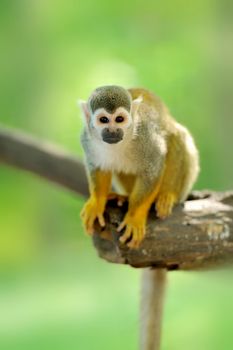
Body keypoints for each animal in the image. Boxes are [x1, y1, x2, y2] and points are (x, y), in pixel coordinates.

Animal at [78, 85, 198, 249]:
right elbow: (97, 167)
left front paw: (134, 217)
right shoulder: (86, 139)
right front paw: (97, 203)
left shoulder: (145, 136)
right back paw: (124, 197)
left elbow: (153, 168)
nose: (112, 131)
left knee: (175, 135)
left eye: (119, 119)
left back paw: (168, 195)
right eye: (103, 120)